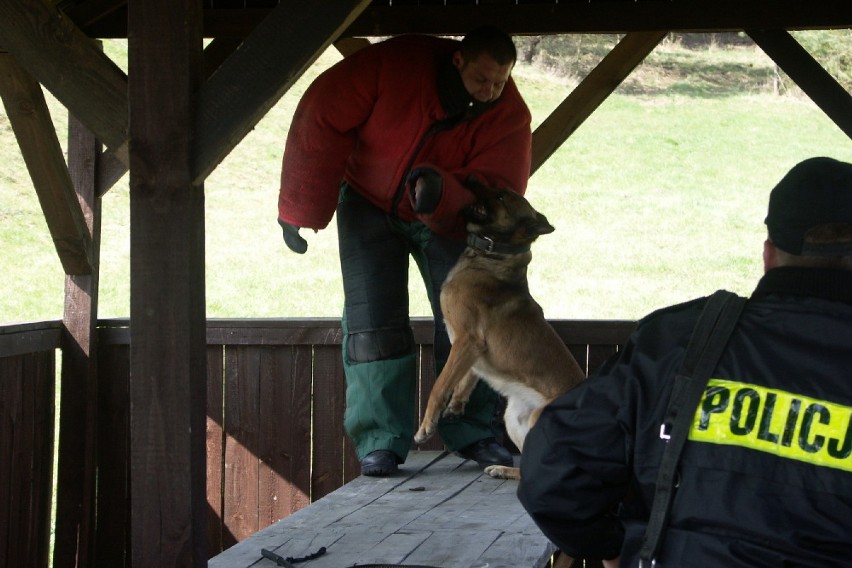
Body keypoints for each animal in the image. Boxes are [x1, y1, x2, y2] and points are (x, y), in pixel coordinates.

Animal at [414, 181, 584, 480]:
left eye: (501, 196)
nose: (470, 178)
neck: (493, 254)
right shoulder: (470, 350)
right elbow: (466, 379)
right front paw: (456, 406)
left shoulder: (467, 340)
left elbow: (440, 384)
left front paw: (426, 426)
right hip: (514, 418)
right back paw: (504, 470)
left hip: (538, 418)